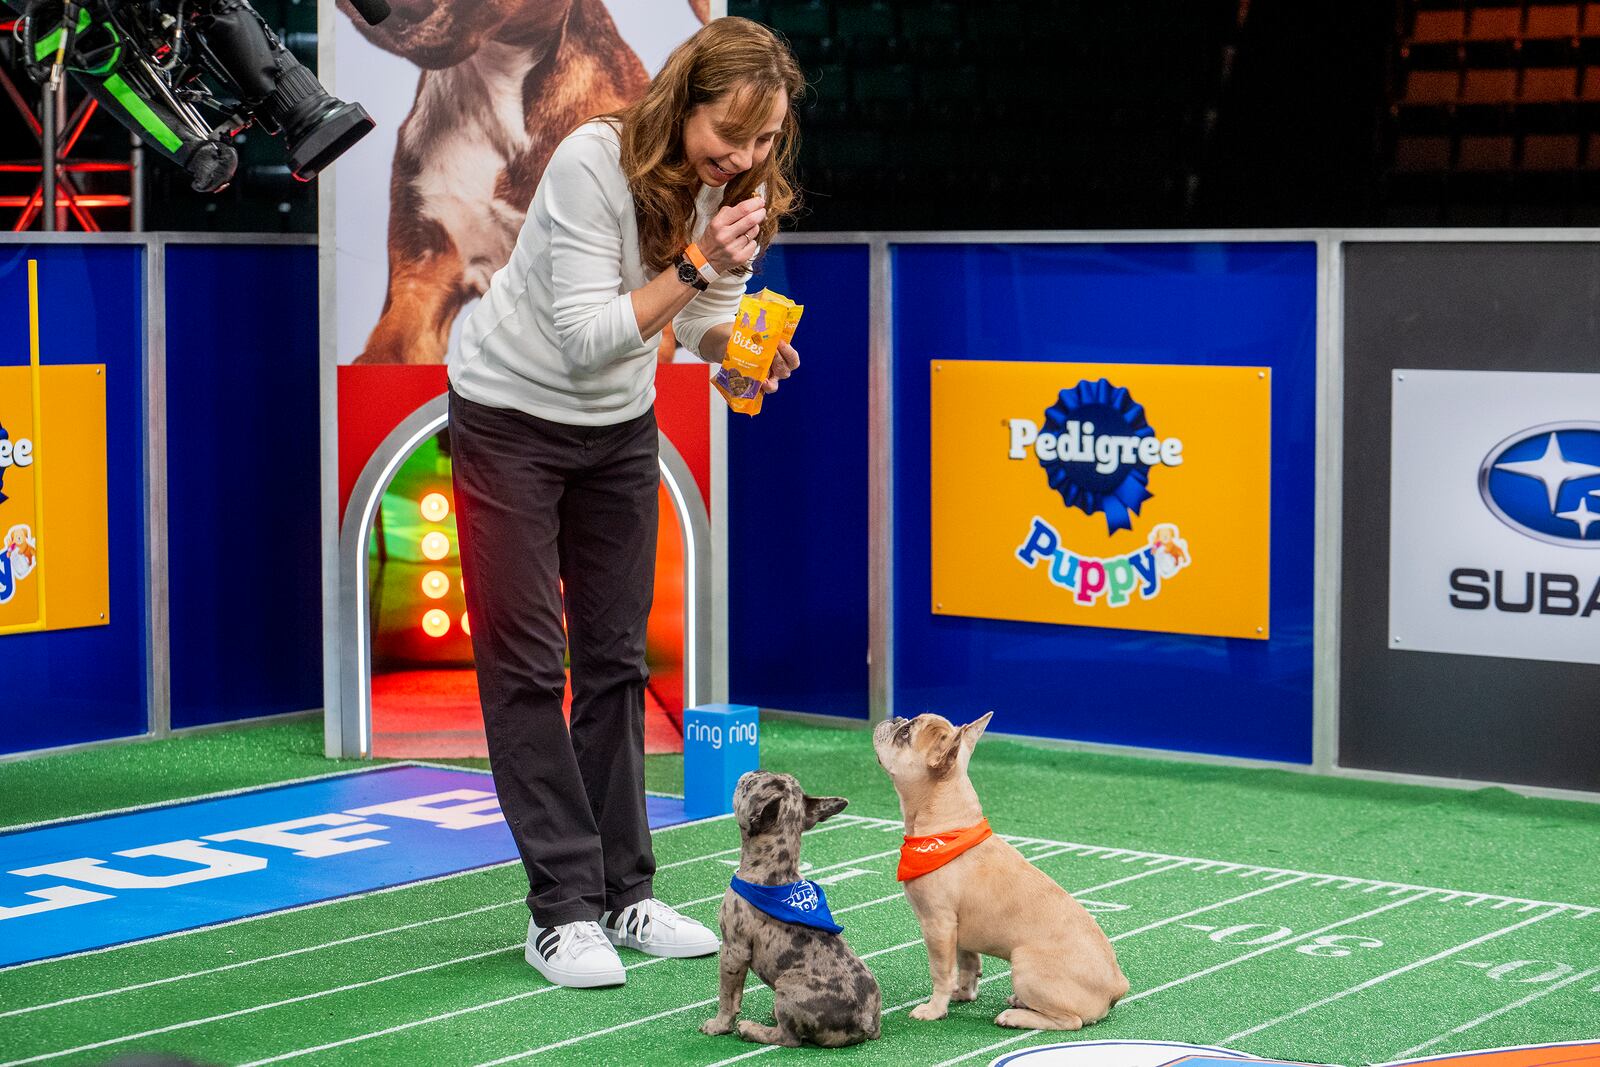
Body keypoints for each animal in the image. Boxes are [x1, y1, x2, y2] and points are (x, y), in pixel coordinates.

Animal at [697, 771, 883, 1049]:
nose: (748, 773)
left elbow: (727, 995)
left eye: (748, 786)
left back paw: (751, 1029)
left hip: (785, 985)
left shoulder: (733, 949)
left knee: (789, 1038)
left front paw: (719, 1025)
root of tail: (865, 1022)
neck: (773, 868)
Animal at [876, 713, 1126, 1030]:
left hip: (1025, 965)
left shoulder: (938, 925)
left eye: (906, 733)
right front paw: (963, 993)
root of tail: (1117, 986)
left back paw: (1015, 1016)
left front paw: (934, 1009)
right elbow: (967, 963)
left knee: (1070, 1021)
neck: (947, 828)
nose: (896, 718)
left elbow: (941, 972)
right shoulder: (958, 929)